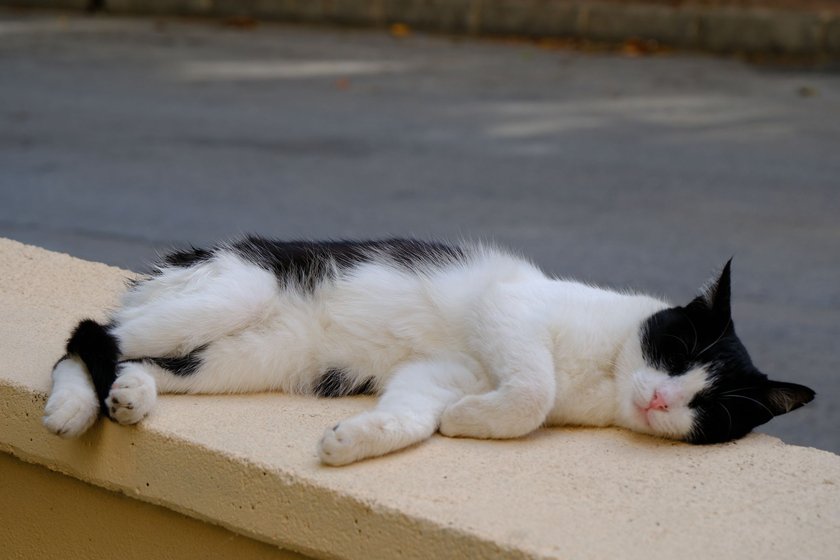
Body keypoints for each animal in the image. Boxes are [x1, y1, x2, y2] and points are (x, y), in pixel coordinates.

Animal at [44, 236, 812, 464]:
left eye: (708, 406)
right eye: (677, 355)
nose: (659, 398)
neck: (603, 371)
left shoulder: (440, 370)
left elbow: (416, 414)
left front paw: (361, 438)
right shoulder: (510, 307)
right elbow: (533, 391)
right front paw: (476, 419)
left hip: (235, 361)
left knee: (133, 360)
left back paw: (130, 395)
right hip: (234, 290)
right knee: (87, 335)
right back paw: (71, 408)